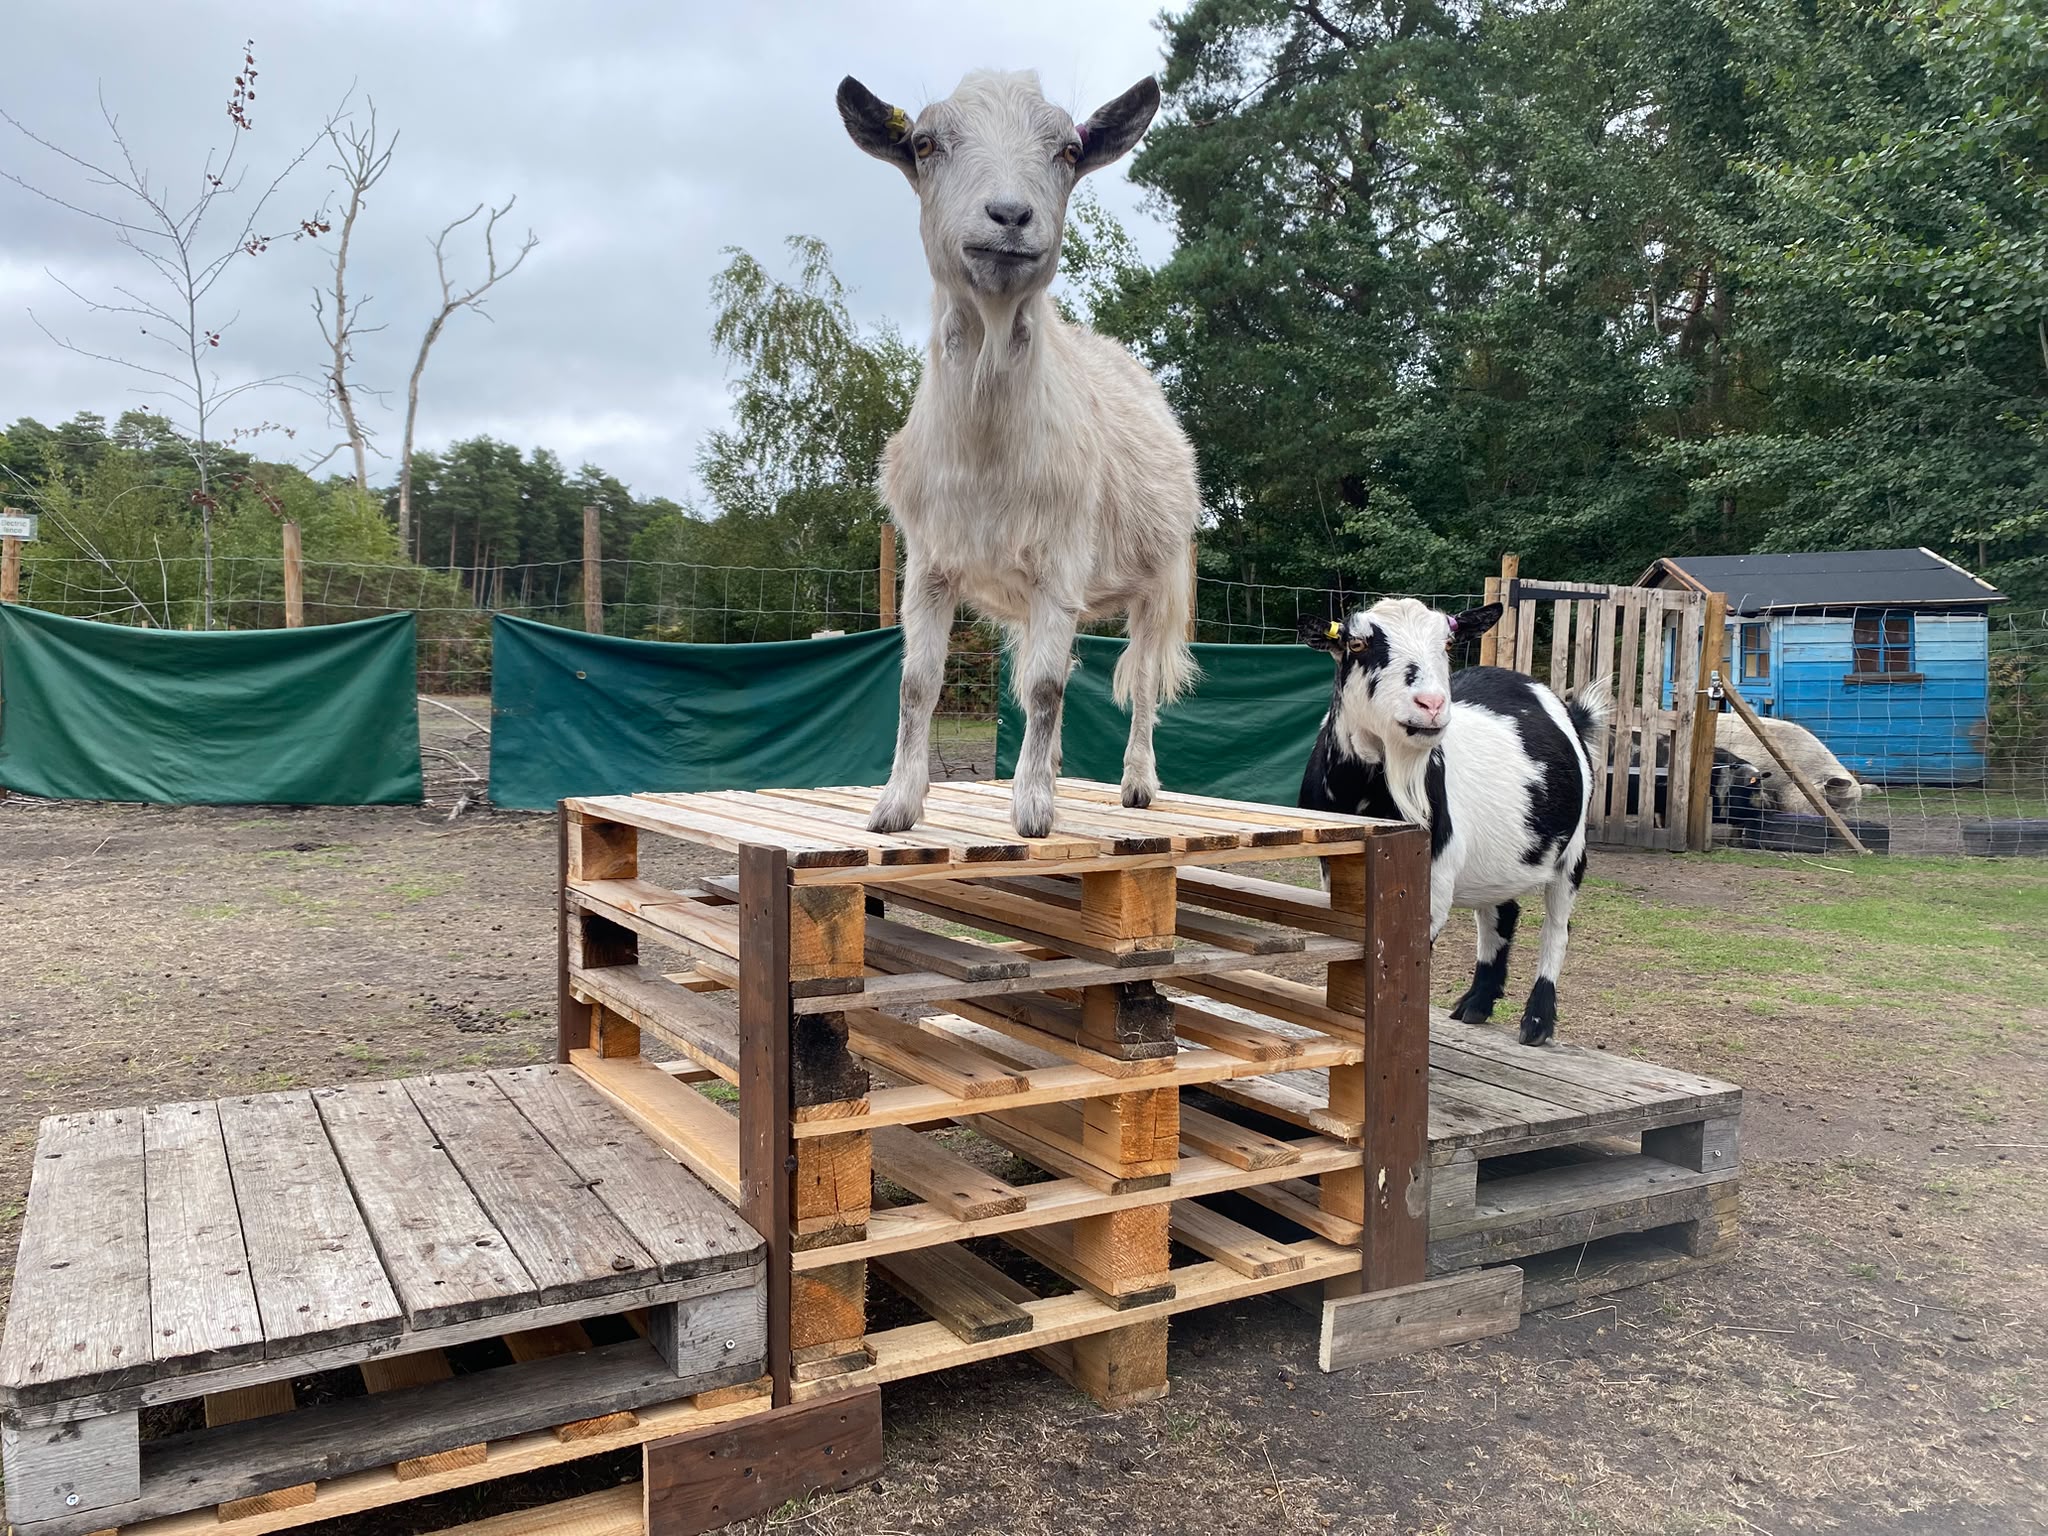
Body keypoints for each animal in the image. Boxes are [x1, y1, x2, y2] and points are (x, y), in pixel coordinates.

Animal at [837, 69, 1198, 838]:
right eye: (924, 143)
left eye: (1069, 150)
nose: (1009, 215)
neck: (986, 450)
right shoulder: (929, 564)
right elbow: (918, 684)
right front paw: (896, 807)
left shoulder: (1062, 558)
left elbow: (1044, 687)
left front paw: (1032, 812)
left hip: (1158, 578)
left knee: (1141, 679)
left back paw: (1137, 784)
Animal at [1297, 599, 1610, 1046]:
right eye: (1356, 643)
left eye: (1447, 642)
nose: (1430, 704)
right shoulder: (1335, 871)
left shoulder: (1431, 881)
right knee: (1502, 911)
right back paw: (1477, 1003)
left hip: (1574, 848)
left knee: (1557, 926)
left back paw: (1537, 1021)